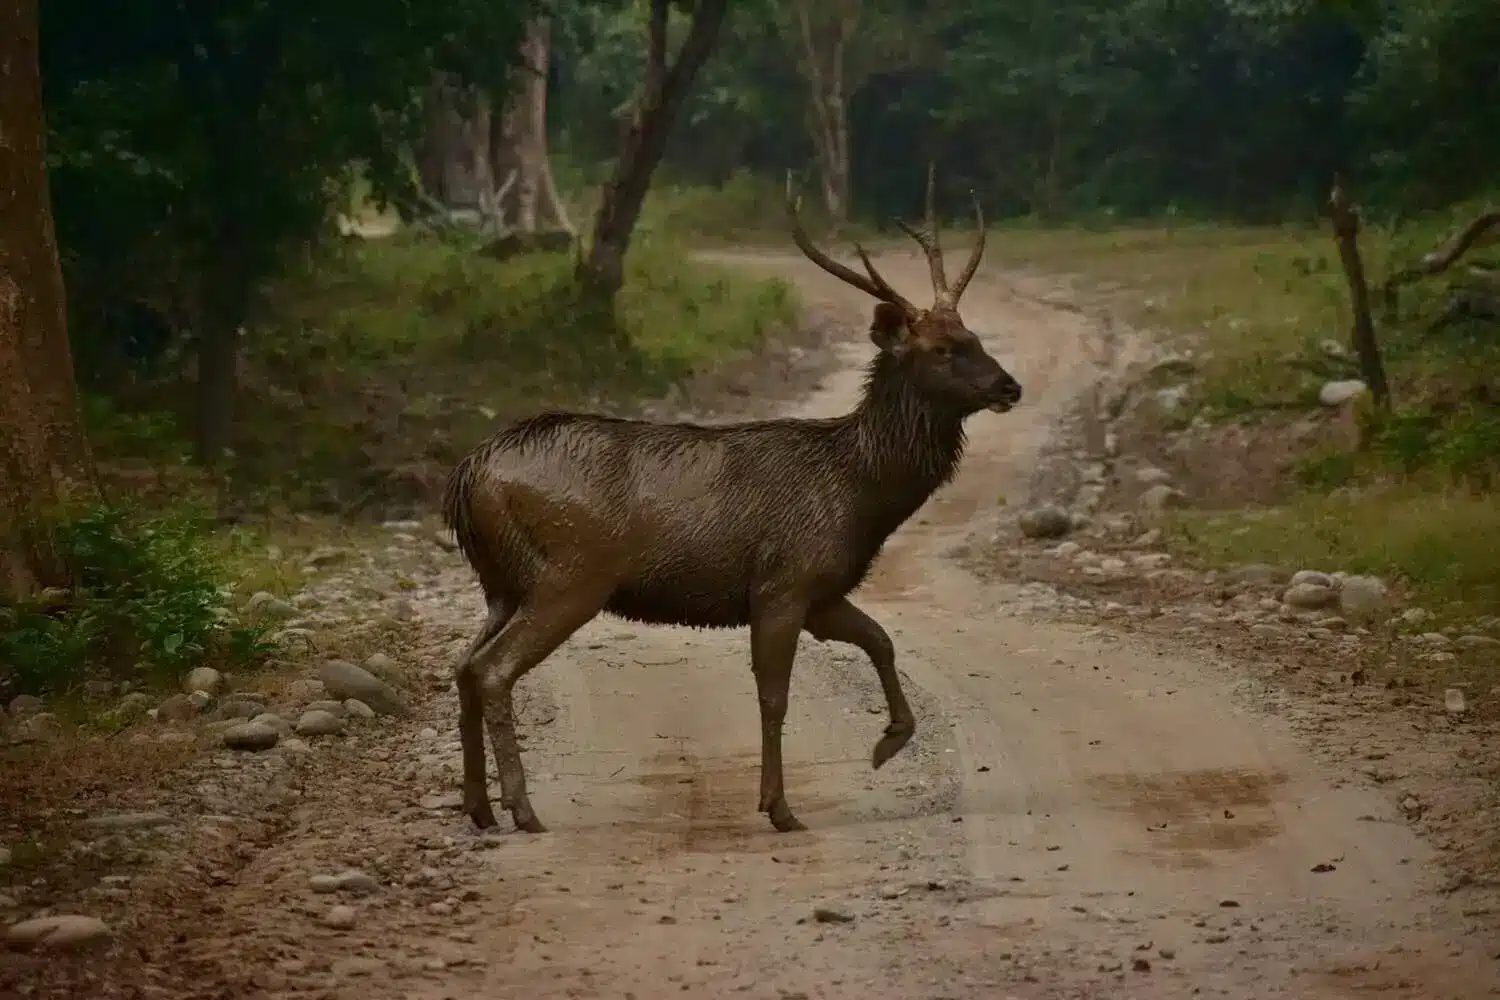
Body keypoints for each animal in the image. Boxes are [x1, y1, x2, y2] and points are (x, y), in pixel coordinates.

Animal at [441, 165, 1021, 835]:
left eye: (972, 335)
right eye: (942, 350)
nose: (1010, 386)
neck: (859, 495)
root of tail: (469, 474)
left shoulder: (822, 591)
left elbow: (880, 638)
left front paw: (890, 740)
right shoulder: (783, 582)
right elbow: (774, 695)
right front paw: (780, 807)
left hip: (502, 583)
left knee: (464, 667)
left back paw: (480, 807)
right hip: (568, 574)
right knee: (492, 670)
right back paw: (523, 808)